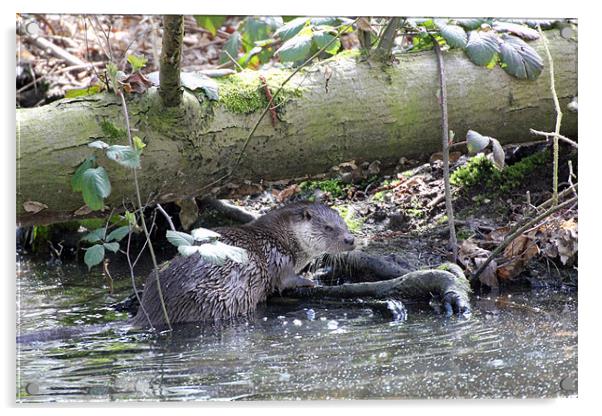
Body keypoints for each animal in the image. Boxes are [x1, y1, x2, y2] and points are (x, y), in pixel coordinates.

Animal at [129, 202, 354, 328]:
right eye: (328, 228)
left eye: (345, 224)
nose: (351, 239)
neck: (281, 239)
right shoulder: (280, 260)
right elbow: (285, 281)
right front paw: (309, 281)